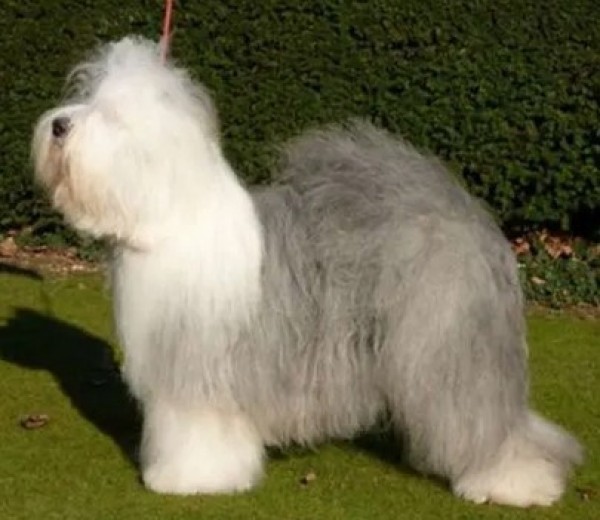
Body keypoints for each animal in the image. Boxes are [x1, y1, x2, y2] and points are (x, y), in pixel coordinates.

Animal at [32, 36, 582, 506]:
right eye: (84, 99)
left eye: (112, 116)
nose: (59, 125)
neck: (166, 218)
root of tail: (464, 210)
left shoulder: (198, 371)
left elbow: (197, 431)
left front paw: (187, 479)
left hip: (448, 344)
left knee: (487, 420)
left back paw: (513, 484)